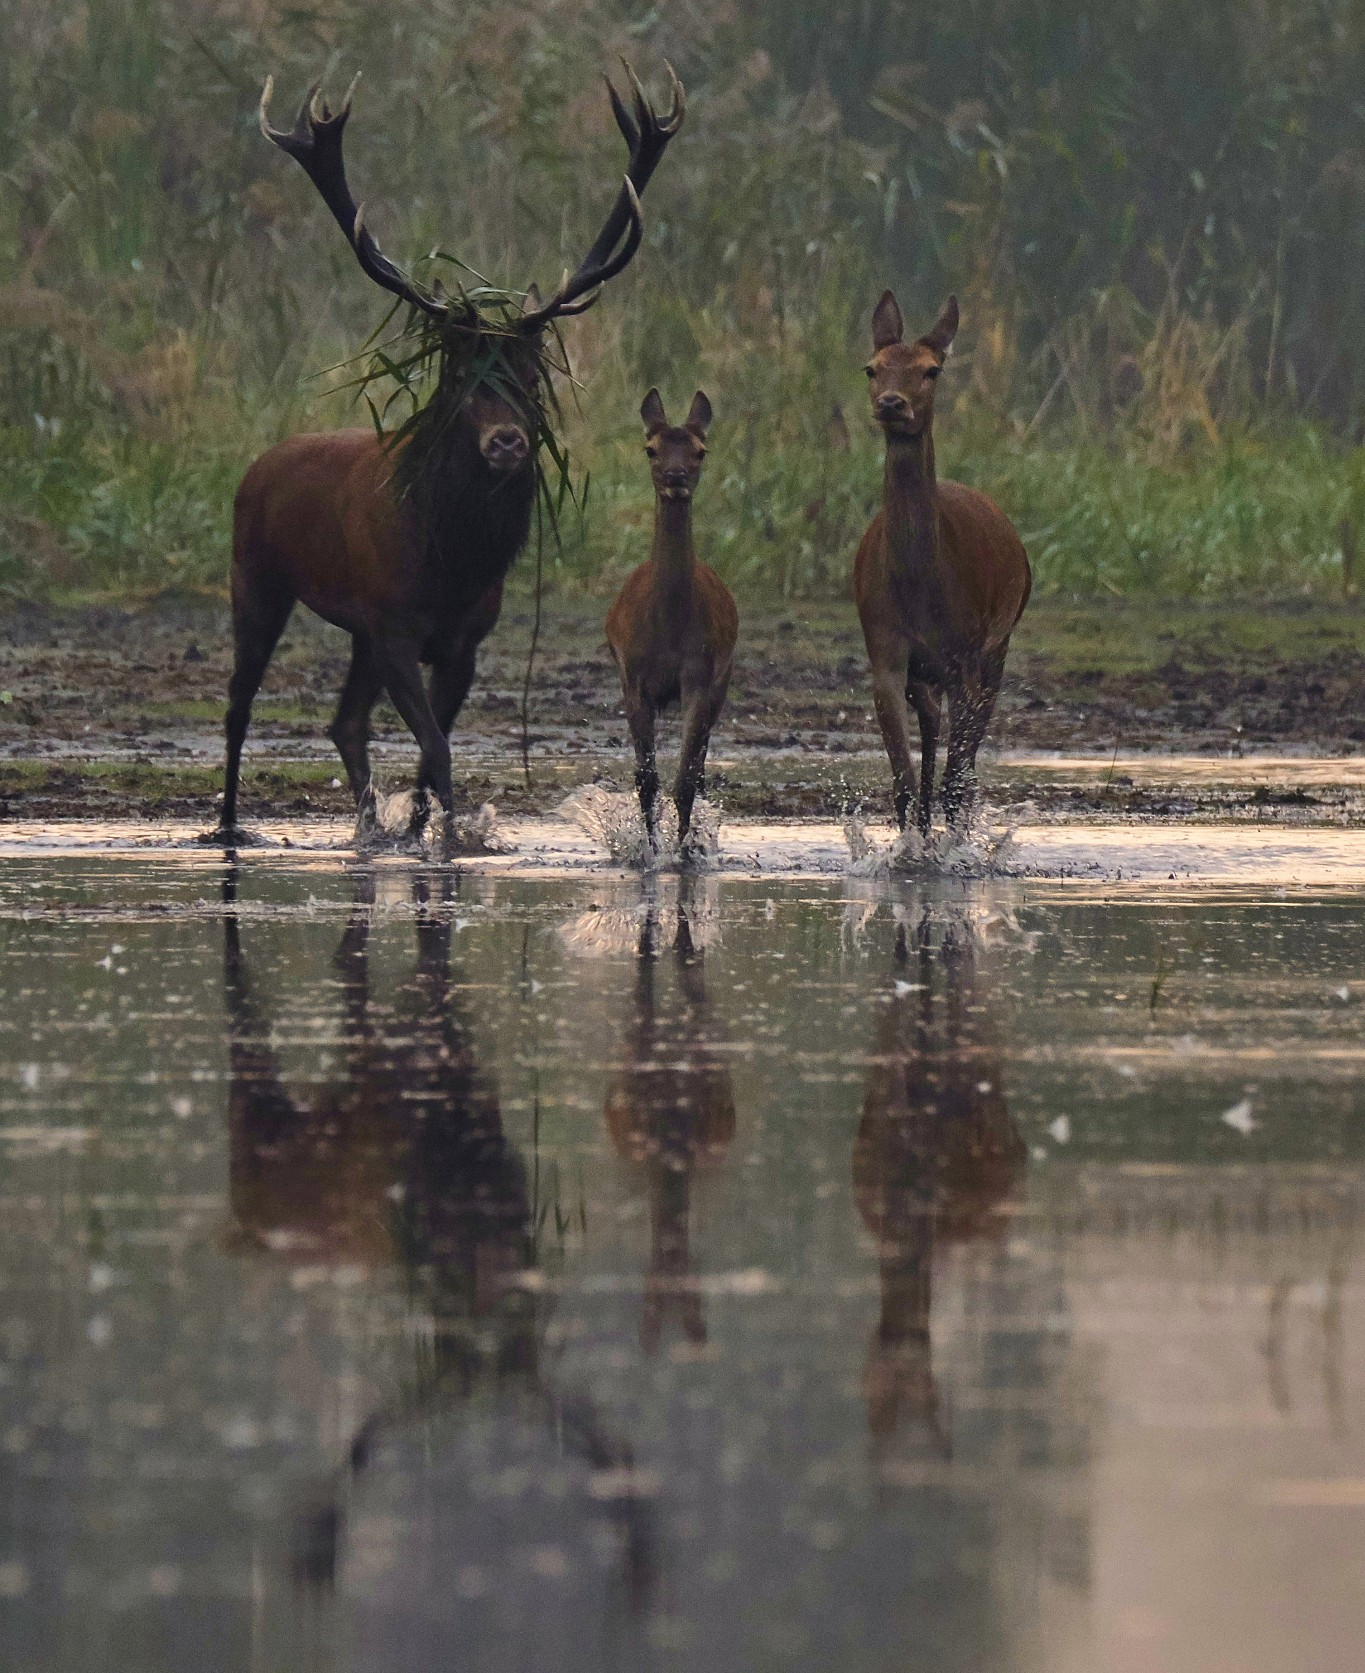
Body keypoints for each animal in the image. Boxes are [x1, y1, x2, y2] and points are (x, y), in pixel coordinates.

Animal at [605, 389, 736, 849]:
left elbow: (684, 781)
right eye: (651, 448)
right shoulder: (632, 678)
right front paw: (648, 849)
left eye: (700, 450)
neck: (669, 630)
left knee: (699, 769)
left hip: (722, 680)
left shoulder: (700, 674)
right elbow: (646, 780)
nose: (676, 475)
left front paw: (681, 850)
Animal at [853, 294, 1037, 836]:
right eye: (871, 367)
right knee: (932, 731)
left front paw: (956, 843)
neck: (921, 591)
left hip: (1000, 640)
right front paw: (912, 843)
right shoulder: (885, 648)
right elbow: (902, 785)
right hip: (928, 670)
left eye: (931, 370)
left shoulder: (968, 655)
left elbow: (958, 774)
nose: (892, 403)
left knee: (965, 755)